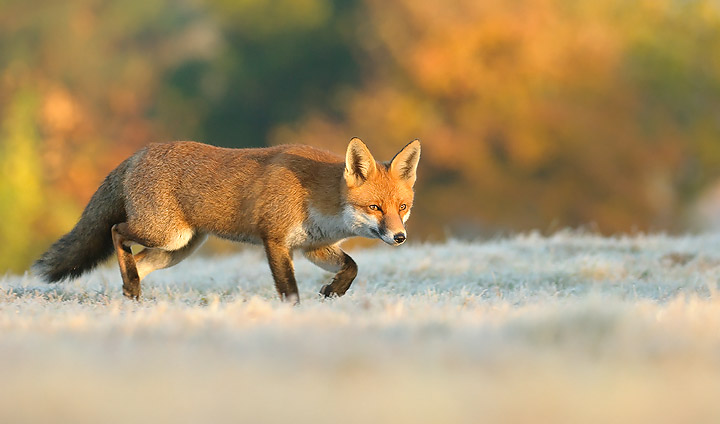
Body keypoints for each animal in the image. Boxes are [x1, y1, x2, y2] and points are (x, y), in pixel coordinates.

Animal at [33, 138, 421, 303]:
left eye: (402, 207)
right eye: (375, 208)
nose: (400, 237)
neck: (317, 195)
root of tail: (139, 153)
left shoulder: (314, 246)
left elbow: (352, 267)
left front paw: (334, 291)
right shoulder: (275, 240)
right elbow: (289, 288)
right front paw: (294, 313)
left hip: (178, 249)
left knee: (135, 265)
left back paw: (131, 294)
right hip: (165, 234)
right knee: (116, 231)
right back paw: (131, 289)